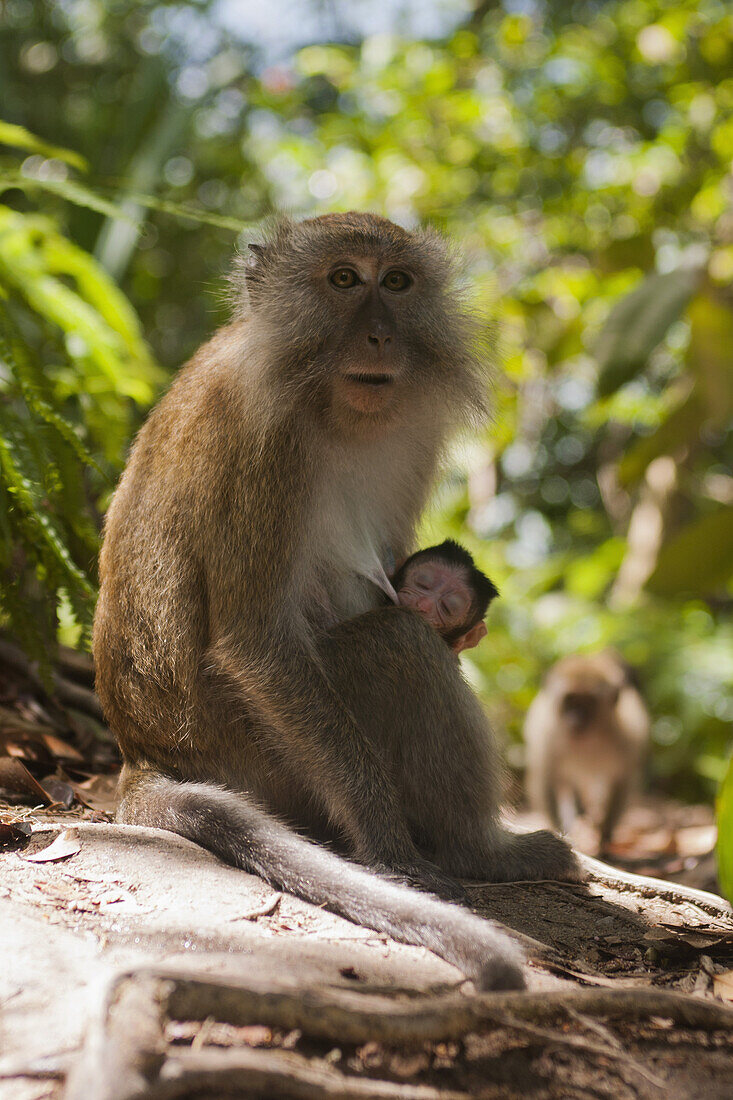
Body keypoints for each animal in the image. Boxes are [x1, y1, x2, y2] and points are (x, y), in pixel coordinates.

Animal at [91, 212, 576, 990]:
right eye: (345, 279)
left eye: (397, 283)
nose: (380, 336)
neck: (320, 397)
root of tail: (146, 753)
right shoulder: (264, 443)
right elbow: (257, 641)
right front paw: (390, 848)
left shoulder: (411, 436)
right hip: (259, 754)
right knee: (400, 647)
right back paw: (480, 852)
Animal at [521, 651, 647, 849]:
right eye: (569, 701)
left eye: (588, 702)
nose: (575, 719)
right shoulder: (547, 739)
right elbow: (546, 780)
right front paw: (561, 834)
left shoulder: (626, 740)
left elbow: (621, 781)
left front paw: (605, 835)